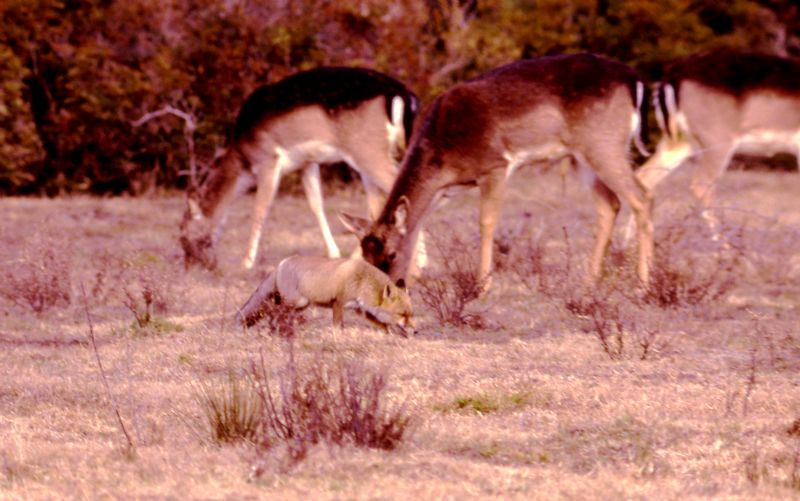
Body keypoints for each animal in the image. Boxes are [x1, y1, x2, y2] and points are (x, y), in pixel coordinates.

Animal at [180, 67, 418, 270]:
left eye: (182, 234)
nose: (193, 265)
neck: (243, 157)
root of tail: (403, 95)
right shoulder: (307, 163)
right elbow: (316, 204)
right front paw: (333, 253)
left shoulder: (268, 160)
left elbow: (260, 209)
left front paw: (246, 262)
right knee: (379, 203)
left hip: (368, 151)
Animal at [340, 52, 652, 292]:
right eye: (365, 257)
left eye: (391, 254)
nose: (384, 289)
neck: (443, 155)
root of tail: (634, 80)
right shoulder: (444, 192)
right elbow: (420, 225)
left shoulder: (495, 165)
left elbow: (486, 222)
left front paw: (483, 286)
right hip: (582, 156)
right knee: (610, 204)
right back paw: (589, 281)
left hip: (604, 144)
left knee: (641, 196)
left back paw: (643, 284)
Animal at [624, 51, 800, 240]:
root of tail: (672, 76)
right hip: (717, 144)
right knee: (701, 186)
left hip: (680, 143)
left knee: (643, 178)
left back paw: (628, 242)